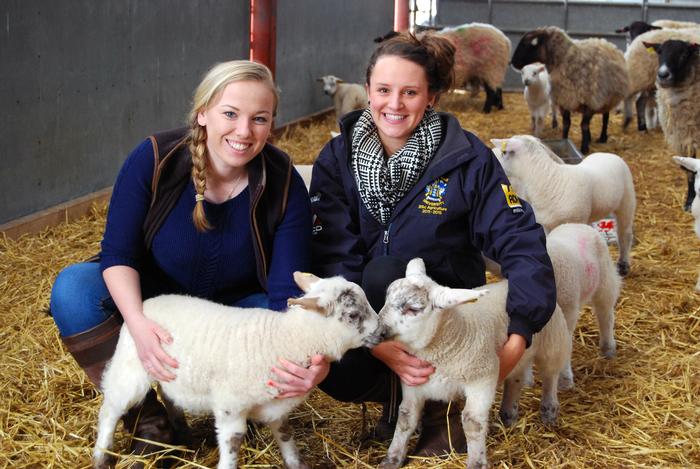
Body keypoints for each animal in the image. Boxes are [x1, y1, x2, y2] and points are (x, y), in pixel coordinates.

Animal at [92, 272, 383, 469]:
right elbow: (232, 447)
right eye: (353, 315)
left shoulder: (277, 406)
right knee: (110, 410)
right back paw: (101, 457)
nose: (383, 331)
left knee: (168, 396)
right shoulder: (230, 409)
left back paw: (184, 435)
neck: (286, 339)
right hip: (130, 367)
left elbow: (287, 438)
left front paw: (296, 463)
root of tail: (147, 302)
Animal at [376, 259, 570, 469]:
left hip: (553, 341)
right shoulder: (413, 381)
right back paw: (508, 414)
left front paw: (476, 462)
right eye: (386, 298)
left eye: (412, 309)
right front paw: (392, 459)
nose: (376, 329)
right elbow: (406, 416)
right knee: (515, 379)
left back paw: (549, 411)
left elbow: (472, 422)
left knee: (550, 375)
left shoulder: (482, 378)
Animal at [490, 135, 636, 276]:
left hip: (626, 201)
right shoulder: (546, 225)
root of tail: (608, 154)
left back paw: (623, 264)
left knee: (624, 234)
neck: (550, 180)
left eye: (504, 152)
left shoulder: (575, 221)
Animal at [546, 223, 621, 389]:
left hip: (604, 282)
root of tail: (577, 224)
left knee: (605, 315)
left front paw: (564, 380)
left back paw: (608, 348)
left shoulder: (568, 311)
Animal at [646, 40, 700, 212]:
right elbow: (689, 171)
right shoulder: (684, 139)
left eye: (684, 54)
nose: (663, 75)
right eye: (659, 52)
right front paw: (689, 201)